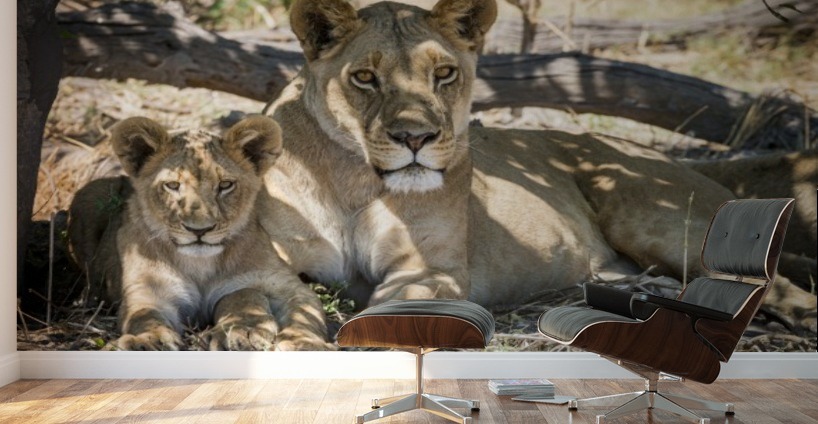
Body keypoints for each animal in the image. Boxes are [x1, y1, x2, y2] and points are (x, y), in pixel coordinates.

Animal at [68, 115, 333, 351]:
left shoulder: (286, 285)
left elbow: (304, 315)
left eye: (225, 185)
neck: (201, 265)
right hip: (93, 193)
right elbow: (144, 316)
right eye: (172, 186)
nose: (200, 229)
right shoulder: (149, 291)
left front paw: (304, 343)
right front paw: (147, 340)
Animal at [260, 0, 816, 331]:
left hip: (654, 218)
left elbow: (389, 309)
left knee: (769, 284)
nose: (415, 138)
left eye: (444, 73)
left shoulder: (430, 267)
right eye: (364, 78)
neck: (355, 180)